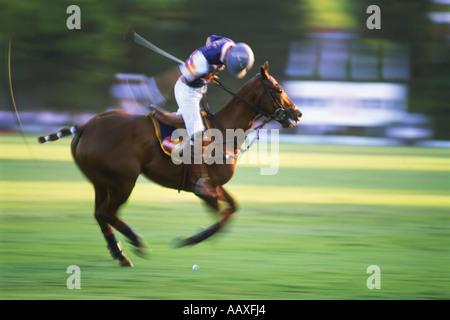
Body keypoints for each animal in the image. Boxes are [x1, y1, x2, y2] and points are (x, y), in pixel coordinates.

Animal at [38, 61, 302, 266]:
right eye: (277, 89)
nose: (297, 114)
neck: (225, 130)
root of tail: (85, 126)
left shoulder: (216, 186)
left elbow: (232, 209)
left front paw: (190, 239)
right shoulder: (204, 190)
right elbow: (220, 219)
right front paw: (188, 240)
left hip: (101, 182)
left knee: (100, 214)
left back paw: (121, 254)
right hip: (123, 181)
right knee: (106, 212)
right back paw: (137, 243)